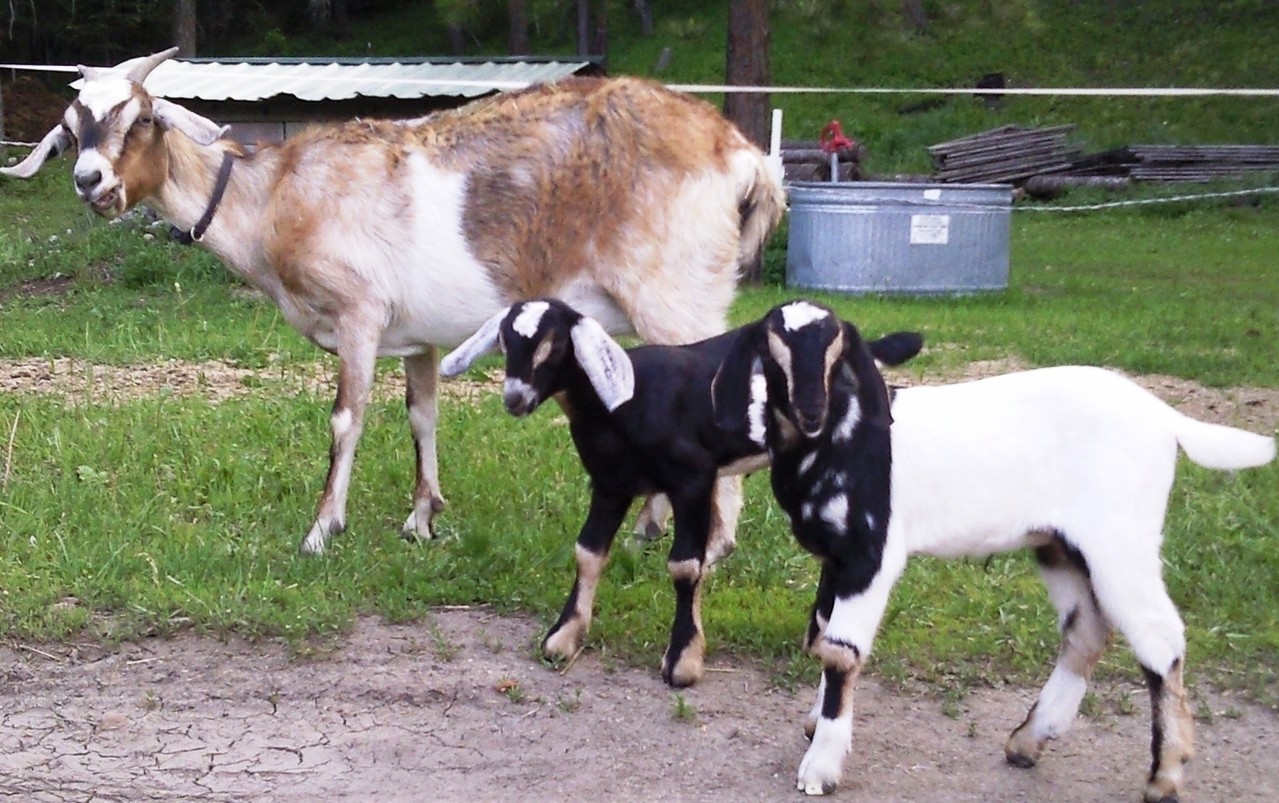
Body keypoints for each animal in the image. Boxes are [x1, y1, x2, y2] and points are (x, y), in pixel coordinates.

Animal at [1, 48, 786, 555]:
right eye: (71, 128)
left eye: (140, 120)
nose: (90, 181)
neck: (274, 197)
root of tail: (743, 156)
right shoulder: (418, 339)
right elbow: (423, 416)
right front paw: (423, 518)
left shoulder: (358, 315)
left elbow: (345, 419)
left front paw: (321, 530)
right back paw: (657, 526)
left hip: (676, 298)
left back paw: (709, 546)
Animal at [439, 298, 922, 686]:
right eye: (505, 342)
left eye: (555, 345)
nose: (515, 399)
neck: (626, 404)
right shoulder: (610, 485)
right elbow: (588, 552)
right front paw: (563, 636)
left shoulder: (692, 479)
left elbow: (686, 566)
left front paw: (682, 661)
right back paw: (817, 636)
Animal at [711, 300, 1276, 800]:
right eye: (772, 346)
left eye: (837, 348)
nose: (811, 410)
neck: (837, 441)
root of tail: (1165, 419)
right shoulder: (837, 557)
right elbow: (819, 633)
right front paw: (815, 723)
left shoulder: (870, 554)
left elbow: (840, 650)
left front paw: (821, 767)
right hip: (1062, 545)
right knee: (1087, 630)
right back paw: (1029, 741)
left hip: (1120, 539)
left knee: (1159, 638)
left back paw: (1165, 775)